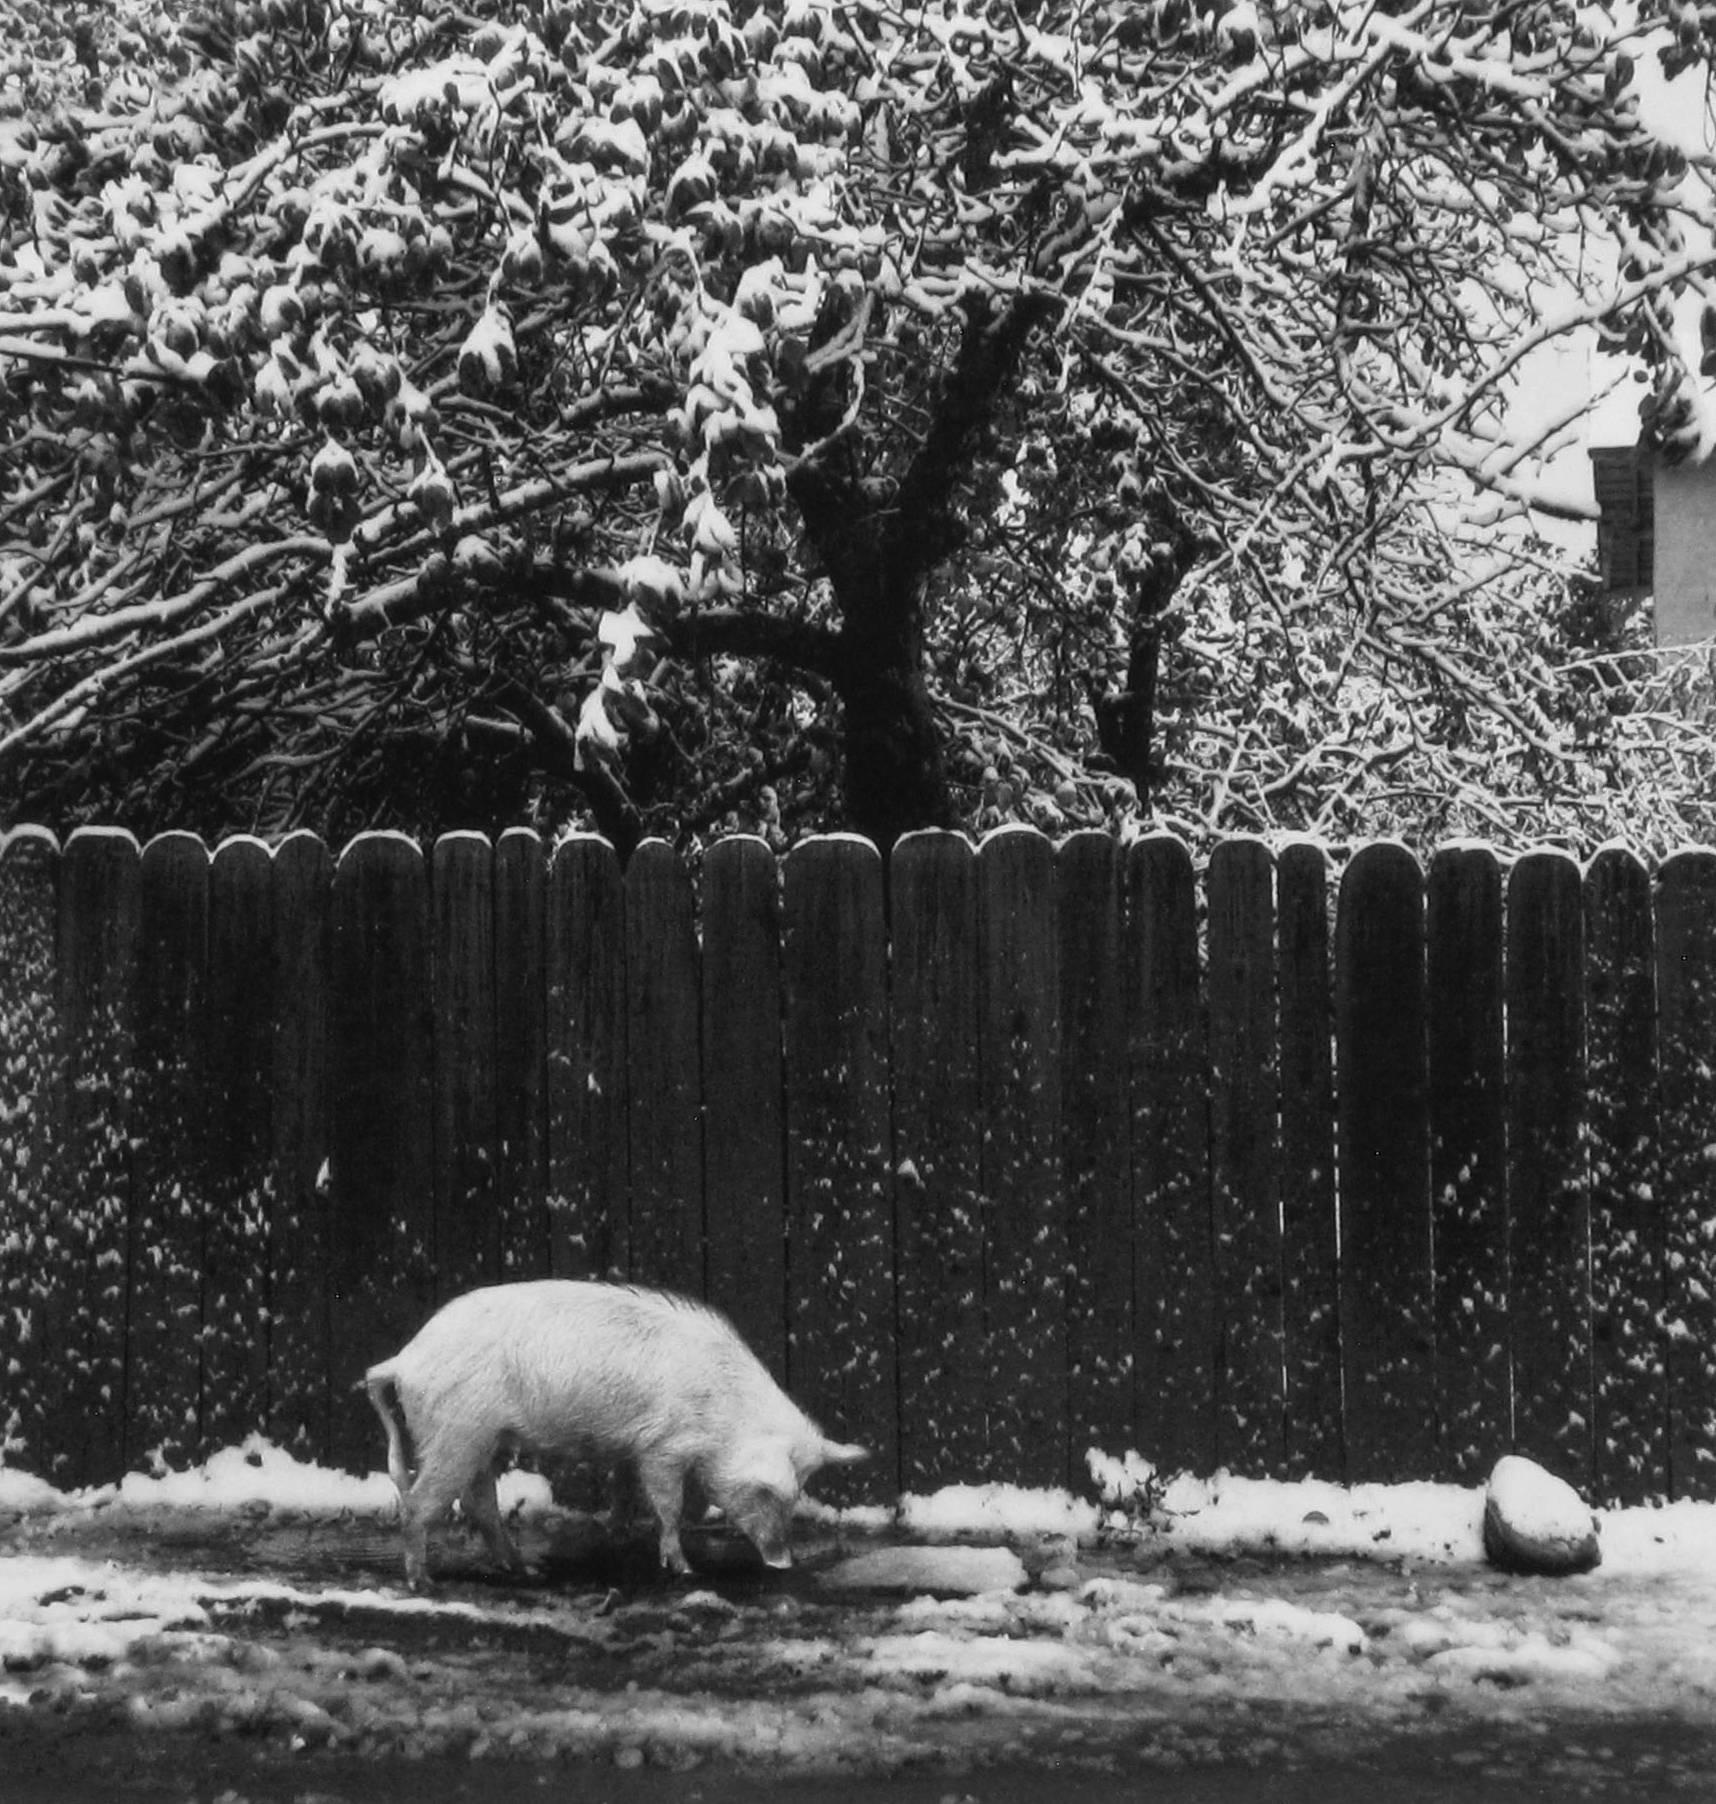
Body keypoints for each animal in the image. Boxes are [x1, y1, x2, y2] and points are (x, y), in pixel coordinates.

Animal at [368, 1277, 866, 1587]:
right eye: (768, 1493)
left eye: (799, 1492)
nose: (783, 1562)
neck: (722, 1416)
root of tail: (404, 1360)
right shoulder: (662, 1448)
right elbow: (669, 1506)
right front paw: (684, 1570)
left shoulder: (634, 1453)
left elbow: (636, 1498)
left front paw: (620, 1533)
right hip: (455, 1432)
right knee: (420, 1503)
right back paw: (422, 1580)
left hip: (484, 1439)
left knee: (478, 1502)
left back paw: (525, 1571)